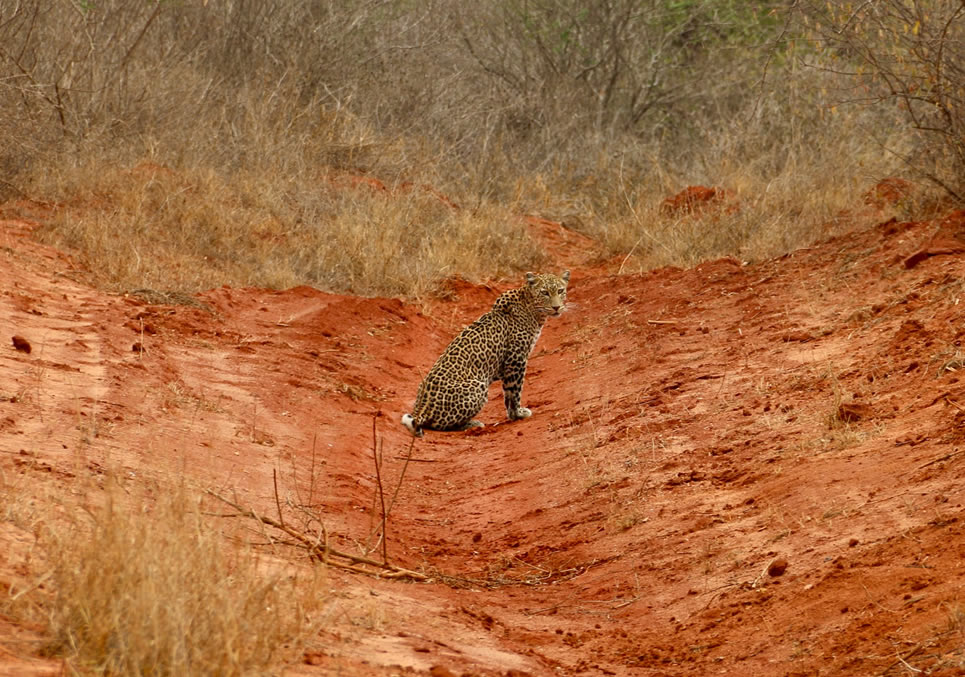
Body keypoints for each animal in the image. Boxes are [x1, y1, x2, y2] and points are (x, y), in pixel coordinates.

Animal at [402, 270, 568, 436]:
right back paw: (473, 424)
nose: (556, 307)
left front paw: (513, 414)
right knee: (440, 424)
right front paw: (518, 414)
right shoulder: (516, 360)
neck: (532, 309)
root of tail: (421, 409)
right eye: (545, 293)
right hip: (478, 385)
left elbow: (508, 393)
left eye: (560, 291)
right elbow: (514, 391)